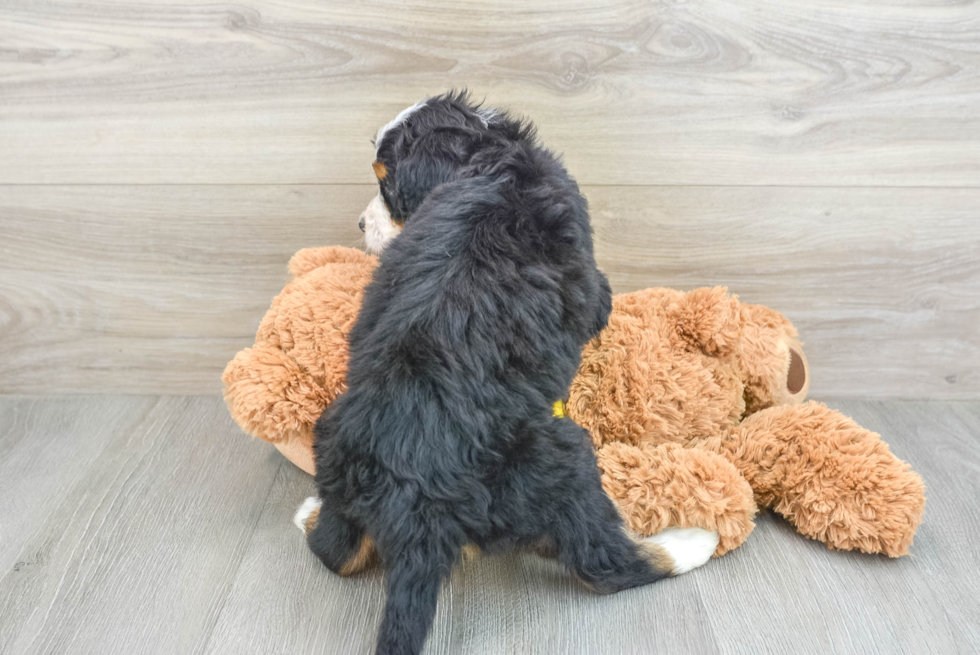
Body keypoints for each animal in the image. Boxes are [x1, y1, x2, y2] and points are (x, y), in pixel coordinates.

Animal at [290, 91, 712, 655]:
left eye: (387, 185)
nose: (360, 226)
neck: (493, 157)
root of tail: (415, 499)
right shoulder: (592, 280)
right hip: (563, 462)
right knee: (606, 564)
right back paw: (692, 541)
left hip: (335, 440)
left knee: (336, 551)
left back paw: (309, 513)